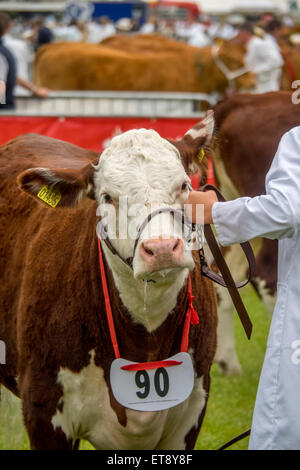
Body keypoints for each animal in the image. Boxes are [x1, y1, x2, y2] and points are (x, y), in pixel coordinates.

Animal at [0, 114, 217, 452]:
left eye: (184, 185)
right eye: (107, 197)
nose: (162, 249)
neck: (145, 338)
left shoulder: (191, 412)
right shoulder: (43, 409)